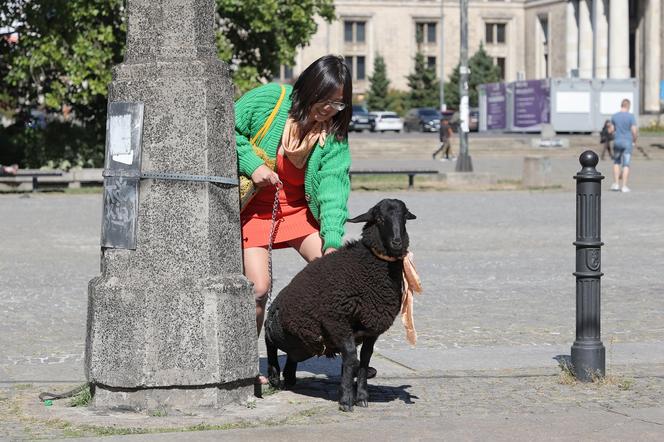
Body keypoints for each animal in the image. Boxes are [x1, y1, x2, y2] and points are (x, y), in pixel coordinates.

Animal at [264, 198, 416, 410]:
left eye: (405, 217)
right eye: (379, 218)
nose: (397, 242)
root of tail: (274, 305)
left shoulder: (372, 328)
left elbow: (363, 359)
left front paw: (361, 396)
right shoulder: (336, 320)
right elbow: (351, 357)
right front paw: (345, 398)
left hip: (305, 344)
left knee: (292, 357)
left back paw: (289, 378)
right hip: (285, 333)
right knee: (268, 338)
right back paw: (273, 375)